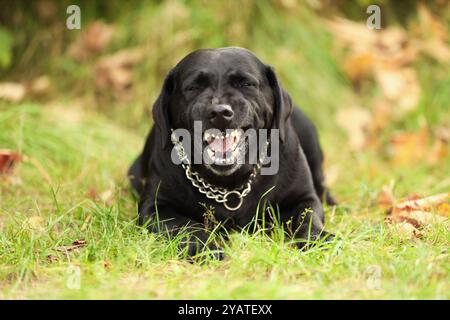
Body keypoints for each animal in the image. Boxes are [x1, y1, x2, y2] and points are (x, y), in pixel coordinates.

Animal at [128, 47, 336, 258]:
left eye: (246, 83)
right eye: (193, 87)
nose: (220, 112)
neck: (229, 184)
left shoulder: (303, 198)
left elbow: (307, 220)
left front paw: (321, 240)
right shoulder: (155, 207)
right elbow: (187, 227)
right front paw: (207, 249)